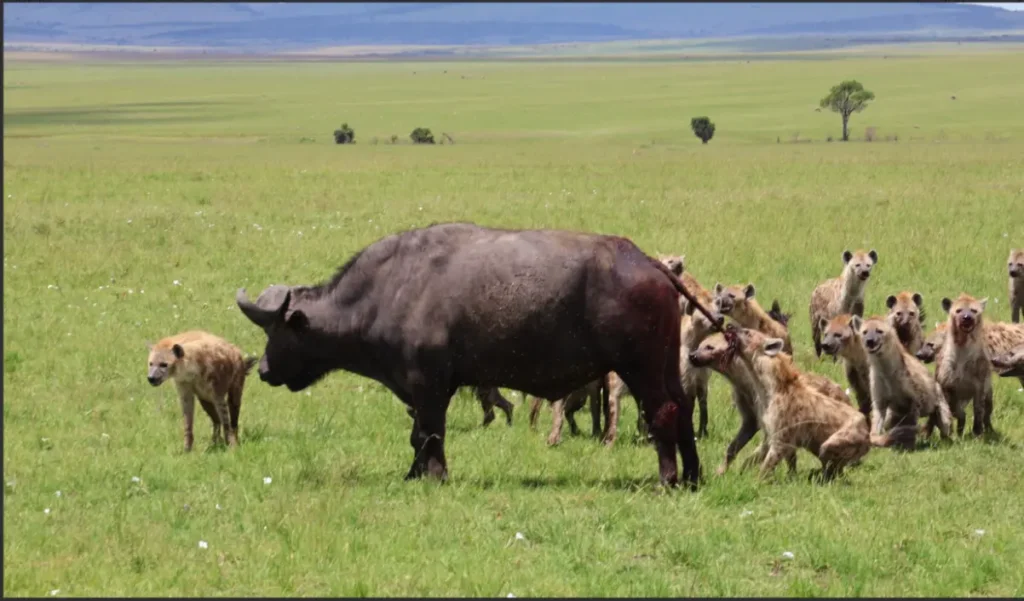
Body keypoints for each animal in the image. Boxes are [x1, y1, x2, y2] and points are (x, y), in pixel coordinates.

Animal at [236, 222, 717, 489]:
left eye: (279, 331)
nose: (263, 370)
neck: (386, 292)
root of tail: (647, 263)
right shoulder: (423, 391)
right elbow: (418, 436)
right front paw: (413, 475)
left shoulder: (430, 386)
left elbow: (429, 434)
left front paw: (434, 477)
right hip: (665, 365)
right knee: (683, 411)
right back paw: (693, 478)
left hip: (640, 368)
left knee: (663, 413)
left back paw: (667, 480)